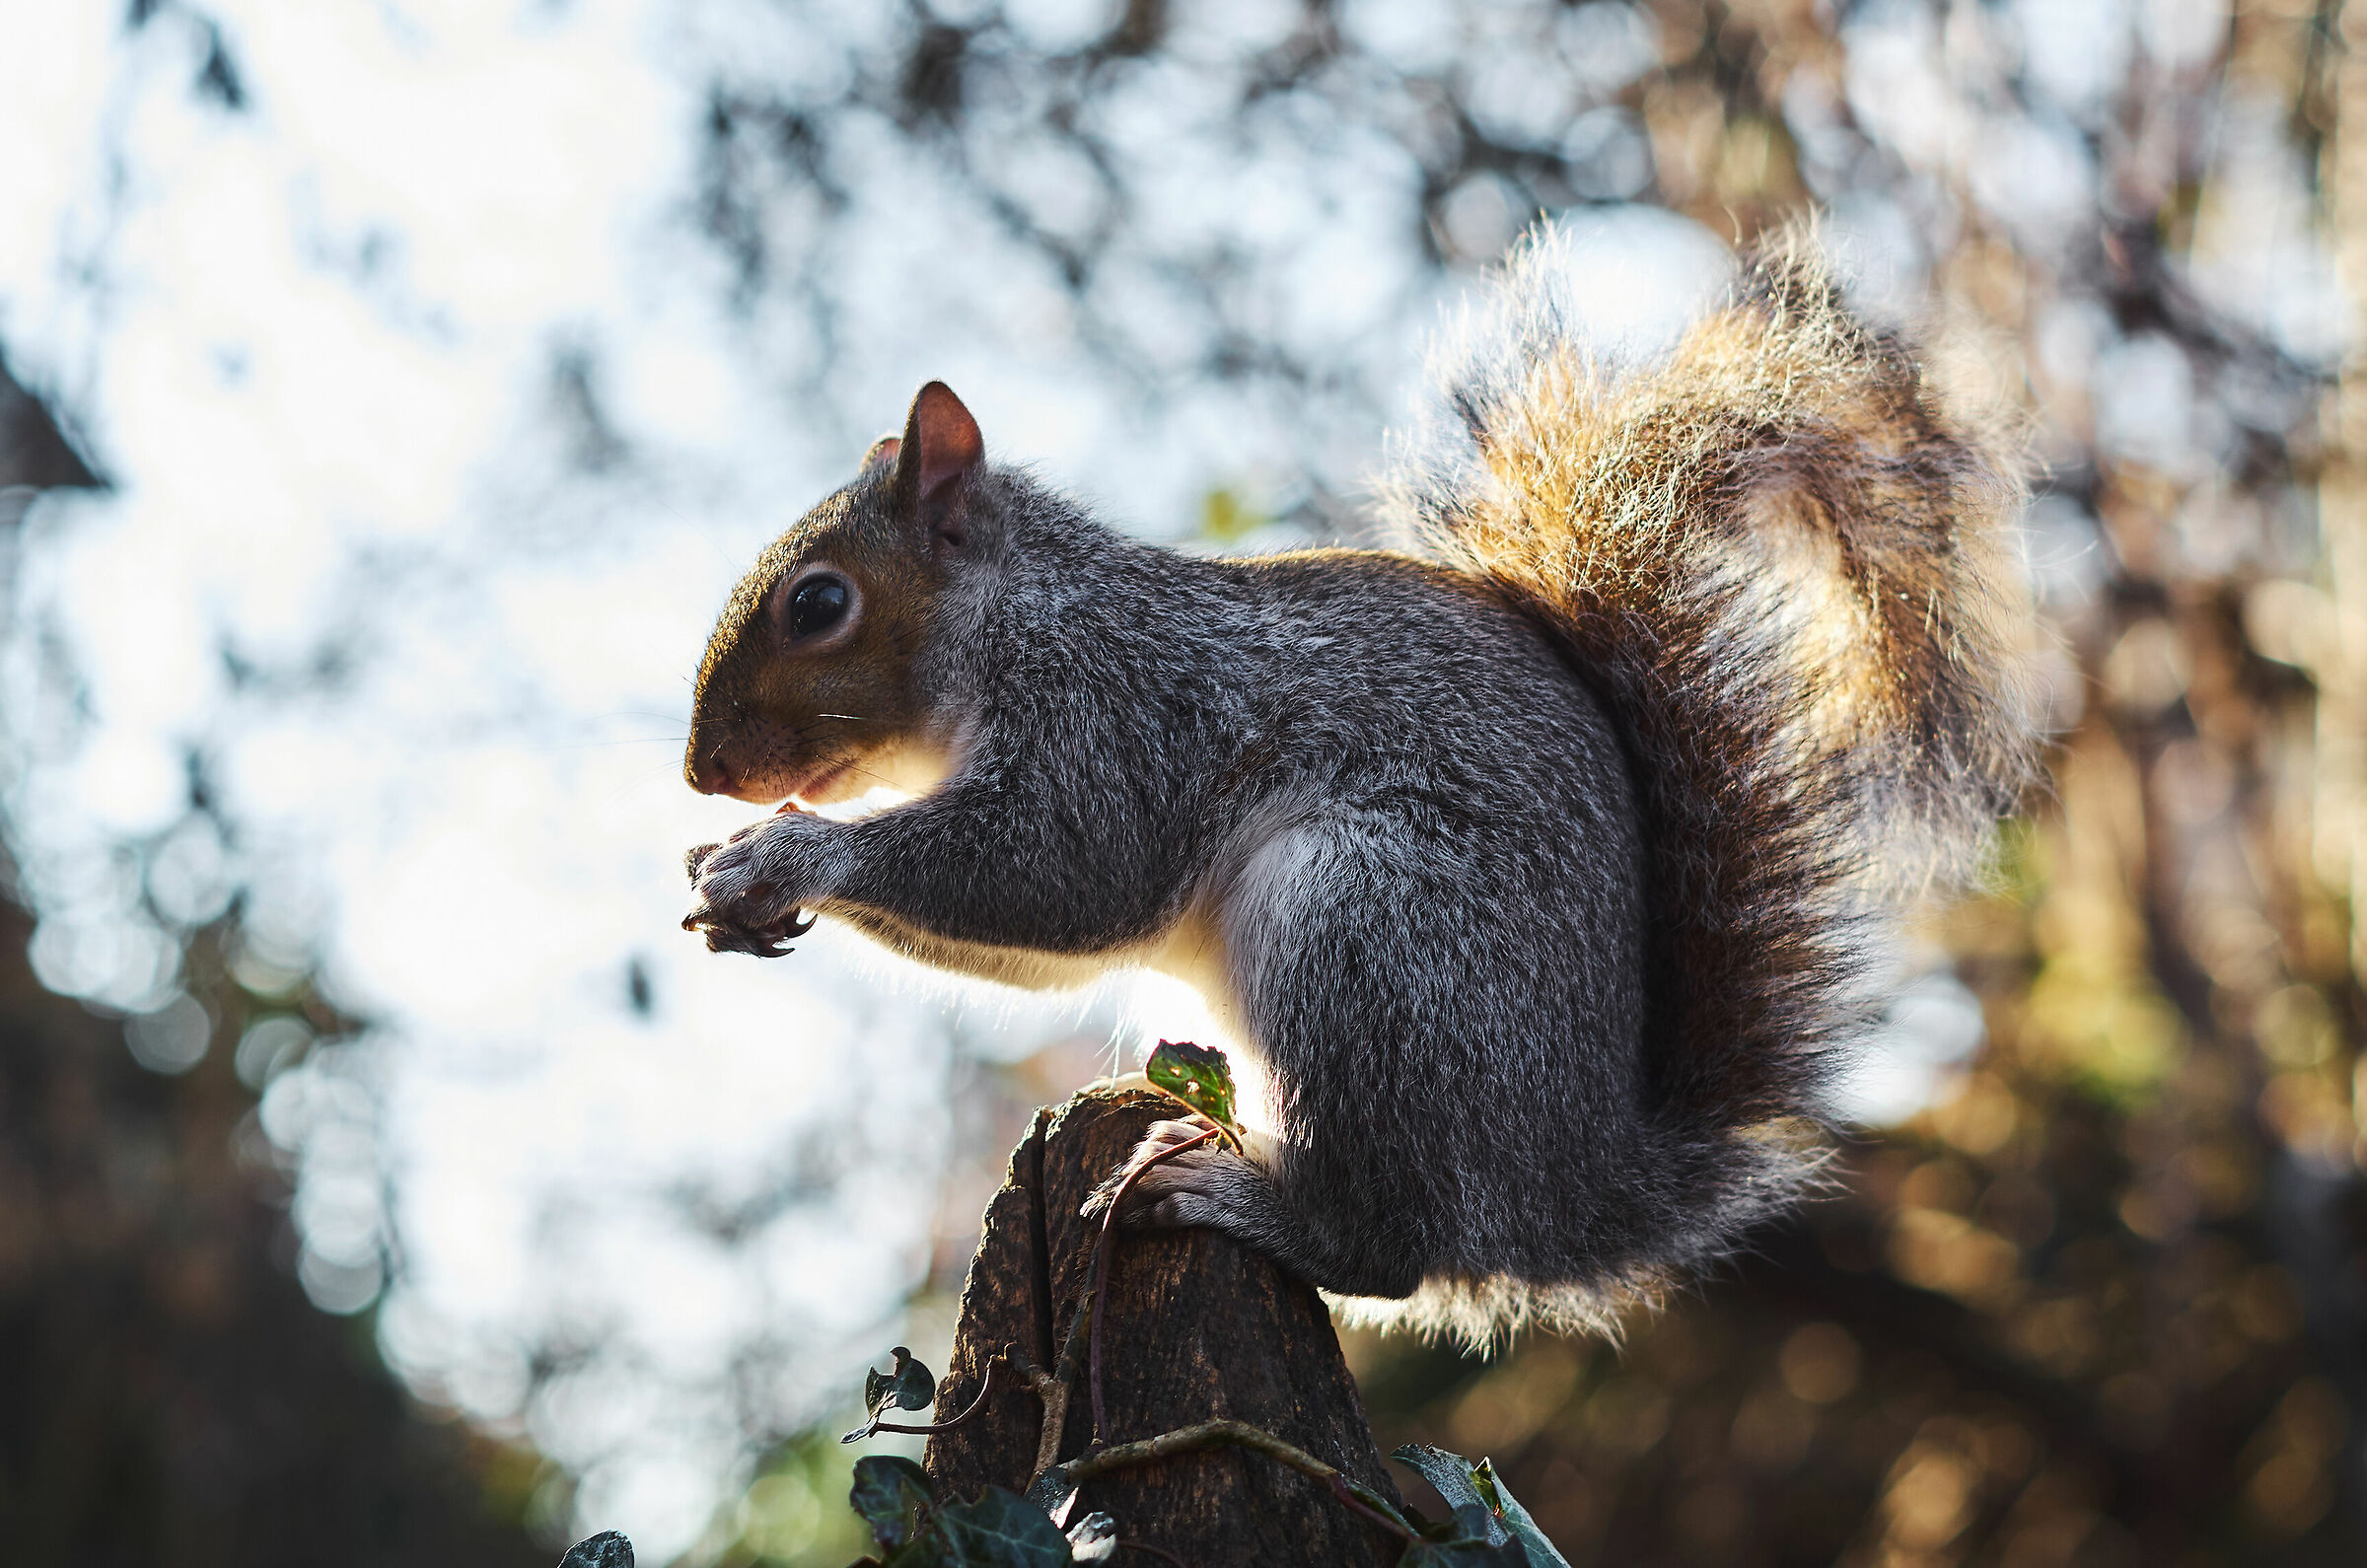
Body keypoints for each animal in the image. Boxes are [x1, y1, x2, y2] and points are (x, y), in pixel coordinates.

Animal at [680, 224, 2039, 1345]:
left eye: (819, 603)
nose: (702, 773)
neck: (1020, 614)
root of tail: (1574, 1190)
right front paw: (729, 875)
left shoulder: (1124, 715)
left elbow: (1063, 872)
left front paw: (787, 854)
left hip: (1366, 933)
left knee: (1384, 1250)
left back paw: (1238, 1196)